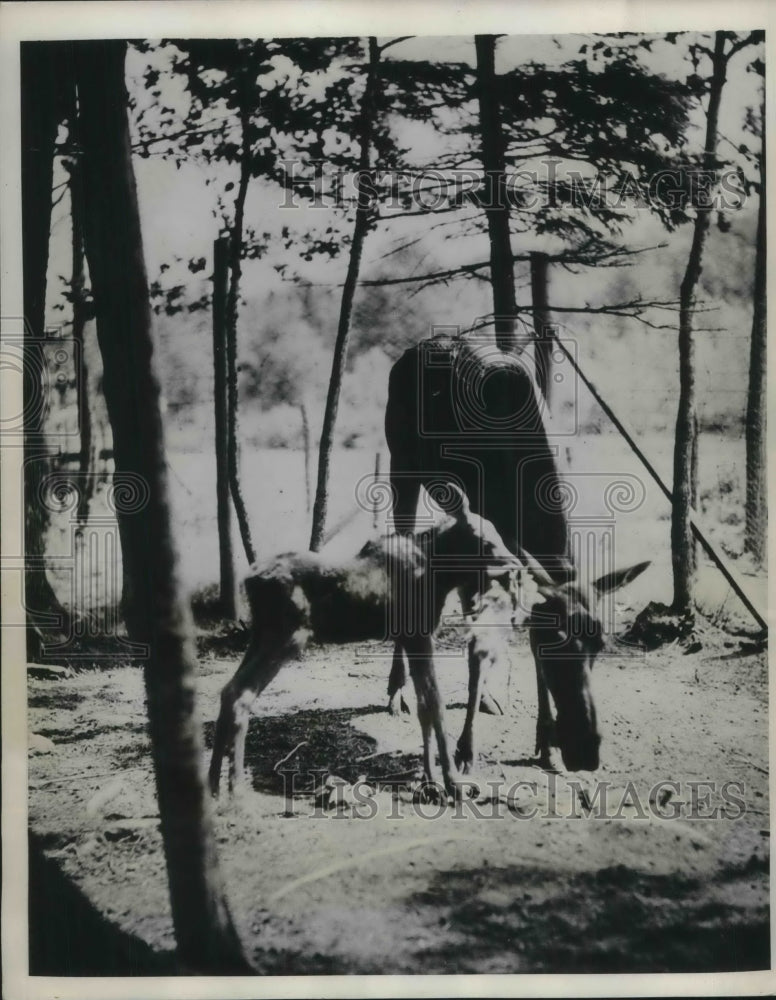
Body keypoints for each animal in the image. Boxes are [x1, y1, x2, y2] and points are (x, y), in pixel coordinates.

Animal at [208, 486, 520, 804]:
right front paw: (453, 783)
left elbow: (423, 708)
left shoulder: (410, 639)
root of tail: (248, 580)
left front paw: (432, 783)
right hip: (285, 638)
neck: (440, 574)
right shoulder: (420, 636)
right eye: (485, 540)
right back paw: (235, 789)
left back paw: (213, 785)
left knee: (227, 691)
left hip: (261, 636)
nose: (515, 566)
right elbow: (436, 705)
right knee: (241, 695)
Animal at [386, 334, 648, 772]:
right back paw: (396, 691)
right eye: (552, 643)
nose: (586, 749)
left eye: (600, 641)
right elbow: (477, 646)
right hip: (400, 467)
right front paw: (466, 749)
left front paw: (545, 742)